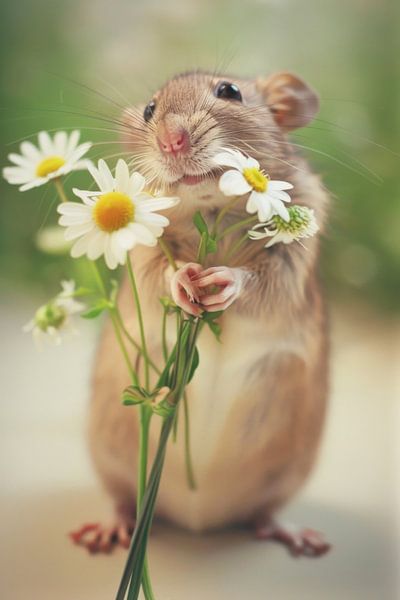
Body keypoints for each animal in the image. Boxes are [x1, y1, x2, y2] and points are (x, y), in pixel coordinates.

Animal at [71, 71, 332, 556]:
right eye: (150, 110)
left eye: (230, 92)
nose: (171, 141)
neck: (213, 208)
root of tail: (199, 518)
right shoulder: (142, 253)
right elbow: (159, 269)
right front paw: (184, 281)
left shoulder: (293, 259)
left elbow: (262, 279)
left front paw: (223, 281)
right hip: (109, 460)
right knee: (122, 499)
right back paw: (109, 529)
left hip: (289, 474)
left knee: (263, 514)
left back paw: (295, 534)